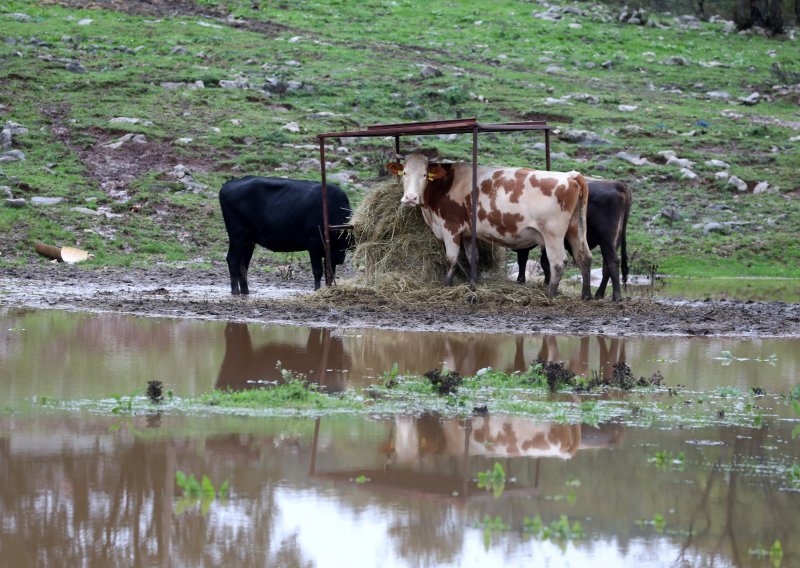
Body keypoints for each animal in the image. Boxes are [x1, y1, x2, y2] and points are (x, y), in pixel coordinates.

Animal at [219, 176, 350, 292]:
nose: (340, 259)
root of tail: (232, 181)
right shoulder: (314, 245)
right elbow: (318, 271)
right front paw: (317, 290)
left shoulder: (329, 251)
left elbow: (330, 271)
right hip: (237, 235)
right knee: (233, 259)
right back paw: (235, 291)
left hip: (248, 240)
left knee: (243, 263)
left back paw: (245, 291)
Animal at [388, 153, 592, 300]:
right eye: (405, 173)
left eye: (424, 175)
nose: (410, 198)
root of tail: (569, 176)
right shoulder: (468, 233)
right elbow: (473, 258)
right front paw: (474, 282)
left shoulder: (451, 228)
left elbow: (451, 259)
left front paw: (446, 284)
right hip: (576, 230)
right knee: (584, 257)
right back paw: (586, 295)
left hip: (553, 235)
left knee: (558, 262)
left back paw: (550, 295)